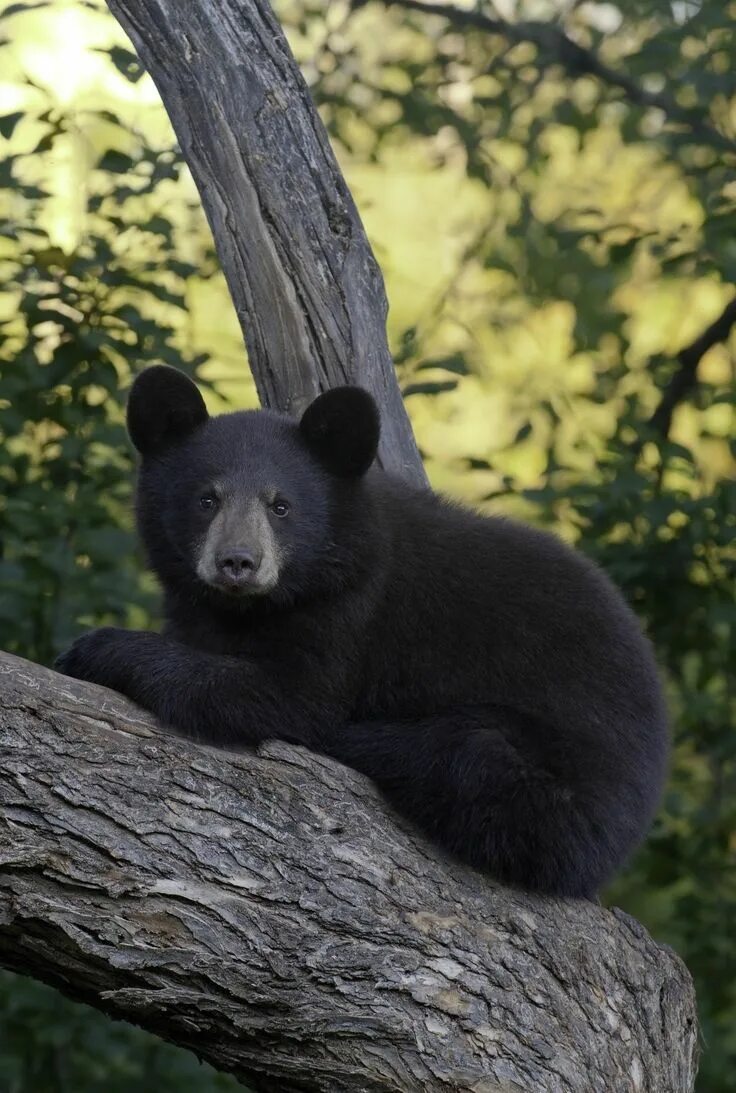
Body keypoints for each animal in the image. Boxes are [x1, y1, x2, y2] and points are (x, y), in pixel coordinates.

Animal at [54, 365, 669, 896]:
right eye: (207, 499)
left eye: (281, 506)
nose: (238, 563)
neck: (264, 603)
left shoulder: (350, 612)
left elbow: (291, 698)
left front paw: (94, 648)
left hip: (557, 783)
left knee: (467, 757)